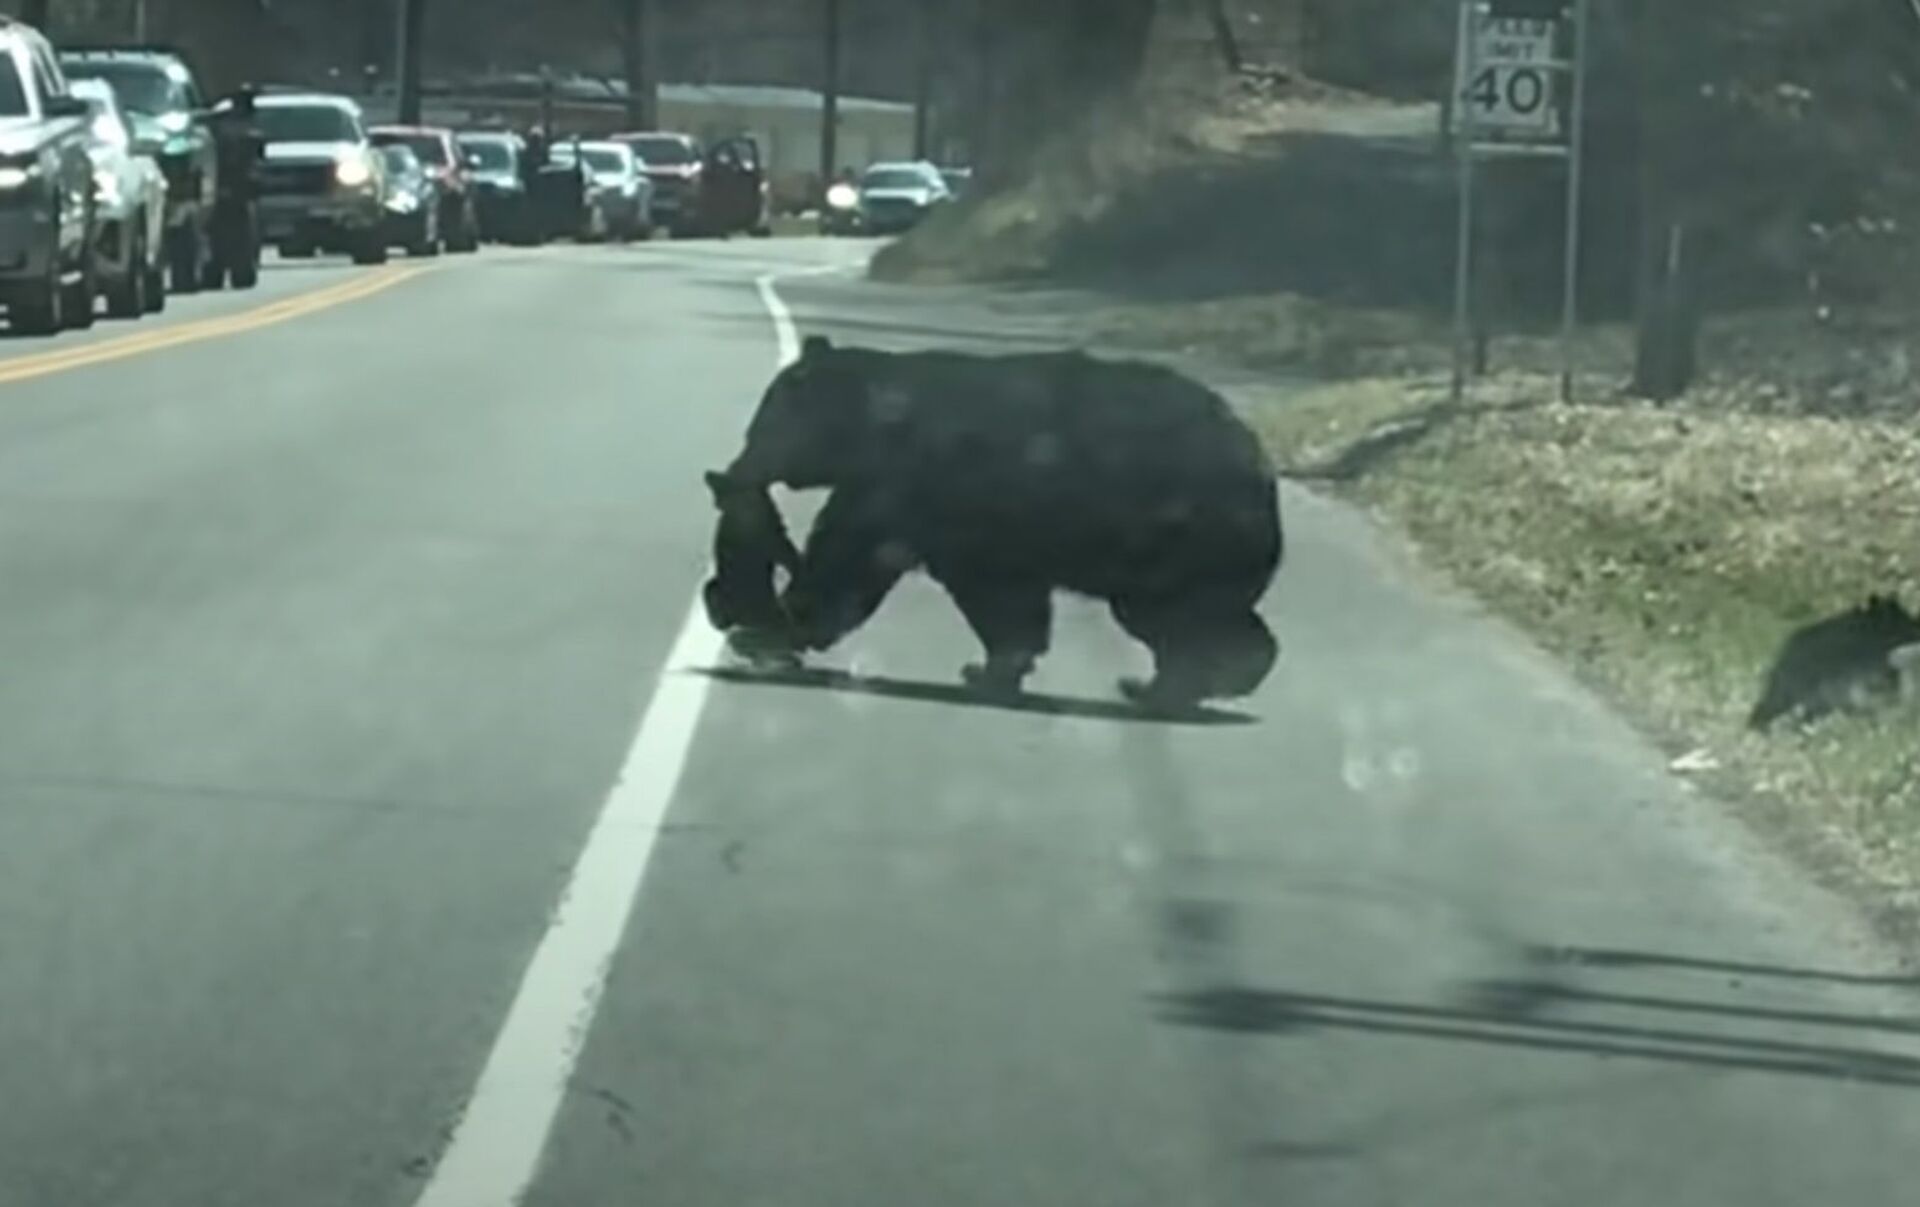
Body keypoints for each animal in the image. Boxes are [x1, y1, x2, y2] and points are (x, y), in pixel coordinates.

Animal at [702, 333, 1274, 702]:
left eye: (761, 427)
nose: (730, 474)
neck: (876, 423)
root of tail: (1261, 462)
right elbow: (998, 594)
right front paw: (994, 667)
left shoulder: (917, 483)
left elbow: (851, 561)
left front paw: (766, 631)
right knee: (1202, 614)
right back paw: (1205, 677)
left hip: (1179, 532)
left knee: (1174, 614)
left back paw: (1178, 682)